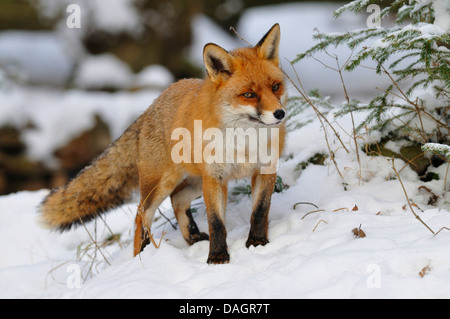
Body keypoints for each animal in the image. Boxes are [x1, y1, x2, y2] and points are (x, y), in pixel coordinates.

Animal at [38, 23, 284, 264]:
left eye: (276, 87)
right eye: (249, 94)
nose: (280, 114)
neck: (245, 143)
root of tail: (150, 106)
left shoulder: (265, 169)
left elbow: (260, 211)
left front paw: (258, 243)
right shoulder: (215, 177)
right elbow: (216, 222)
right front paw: (217, 256)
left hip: (193, 181)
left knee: (177, 200)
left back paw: (192, 237)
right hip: (162, 183)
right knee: (141, 214)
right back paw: (142, 255)